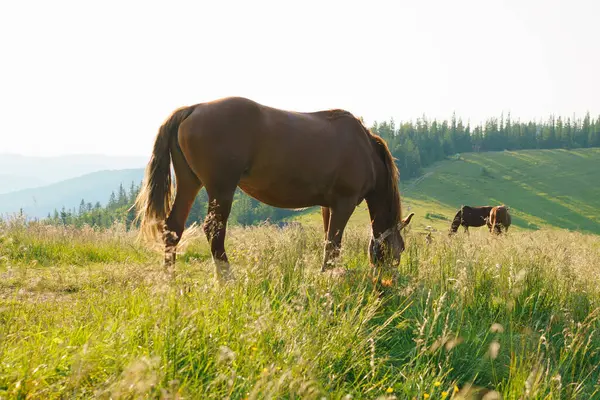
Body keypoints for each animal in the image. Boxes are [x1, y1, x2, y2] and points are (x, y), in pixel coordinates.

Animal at [132, 96, 412, 282]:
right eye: (399, 250)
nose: (387, 282)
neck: (365, 150)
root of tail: (193, 109)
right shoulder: (344, 203)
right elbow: (333, 243)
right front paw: (328, 276)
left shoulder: (328, 206)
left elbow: (327, 239)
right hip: (221, 189)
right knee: (214, 231)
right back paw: (226, 278)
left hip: (190, 183)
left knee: (173, 228)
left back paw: (170, 279)